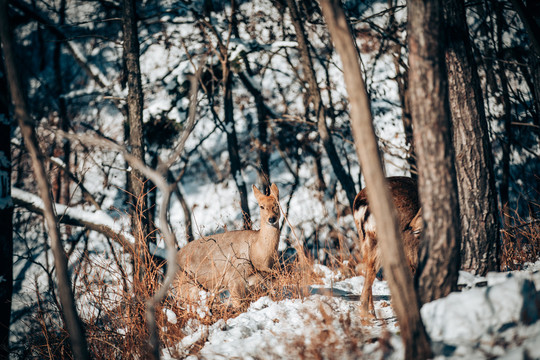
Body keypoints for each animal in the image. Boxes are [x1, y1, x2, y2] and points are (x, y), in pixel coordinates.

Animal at [352, 176, 424, 318]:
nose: (411, 226)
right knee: (374, 268)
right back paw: (366, 312)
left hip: (365, 239)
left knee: (368, 267)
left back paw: (371, 312)